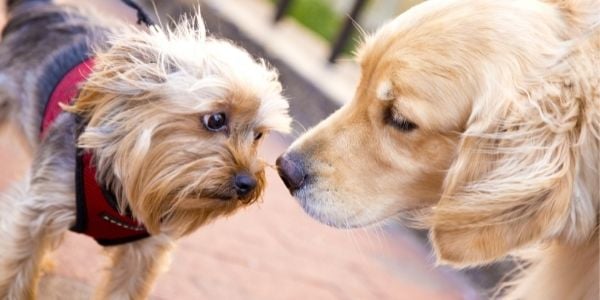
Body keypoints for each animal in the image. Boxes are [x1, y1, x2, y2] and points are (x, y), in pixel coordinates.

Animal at [0, 0, 290, 298]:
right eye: (216, 119)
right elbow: (17, 270)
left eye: (258, 135)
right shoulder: (38, 210)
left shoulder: (147, 249)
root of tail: (39, 7)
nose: (248, 182)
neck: (123, 191)